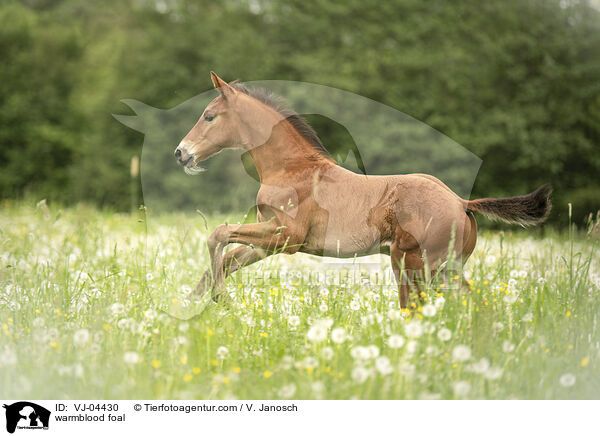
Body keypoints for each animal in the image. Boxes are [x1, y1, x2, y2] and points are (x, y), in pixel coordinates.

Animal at [173, 71, 552, 308]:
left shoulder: (287, 235)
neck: (291, 169)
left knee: (415, 310)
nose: (180, 152)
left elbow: (218, 234)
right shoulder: (270, 240)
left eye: (209, 116)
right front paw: (188, 307)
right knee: (472, 305)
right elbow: (224, 261)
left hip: (411, 265)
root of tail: (461, 203)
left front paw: (220, 300)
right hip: (447, 269)